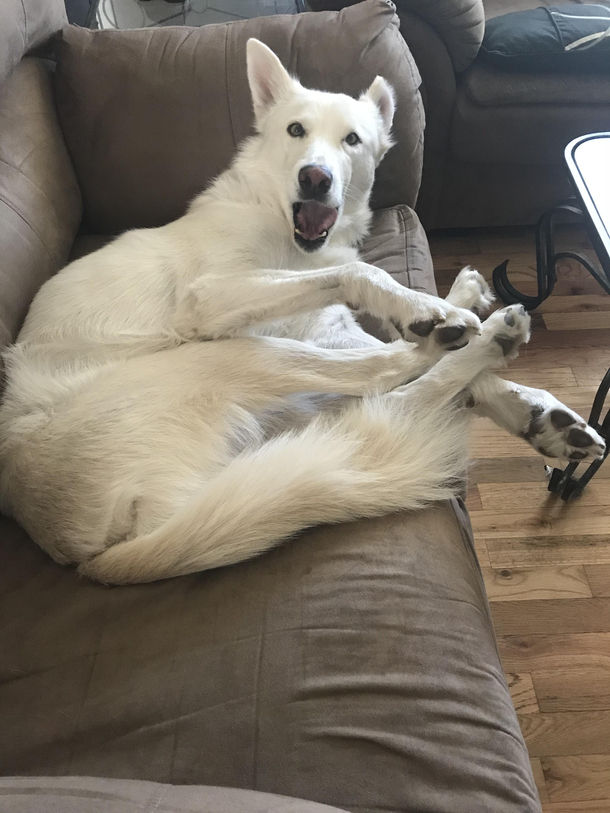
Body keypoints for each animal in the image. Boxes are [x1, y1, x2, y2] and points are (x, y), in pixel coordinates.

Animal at [0, 41, 600, 580]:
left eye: (352, 140)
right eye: (295, 131)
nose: (315, 178)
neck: (280, 223)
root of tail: (82, 552)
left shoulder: (323, 326)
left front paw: (531, 404)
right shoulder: (214, 296)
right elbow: (363, 278)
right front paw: (430, 307)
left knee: (379, 399)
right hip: (229, 358)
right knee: (387, 383)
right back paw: (481, 332)